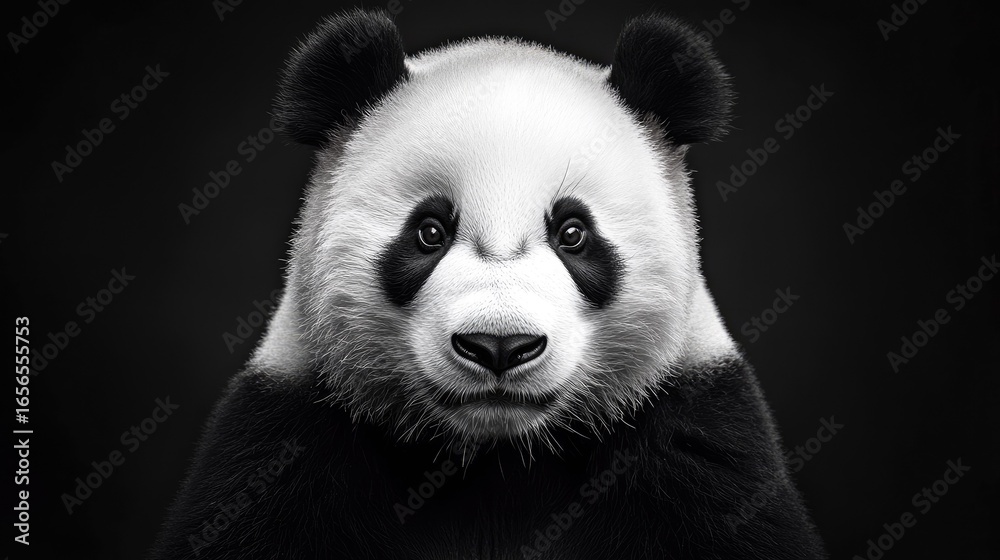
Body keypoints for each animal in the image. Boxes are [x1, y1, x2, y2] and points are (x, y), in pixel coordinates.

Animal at [153, 9, 826, 560]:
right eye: (428, 231)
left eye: (573, 233)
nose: (499, 346)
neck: (496, 457)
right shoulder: (289, 442)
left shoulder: (698, 446)